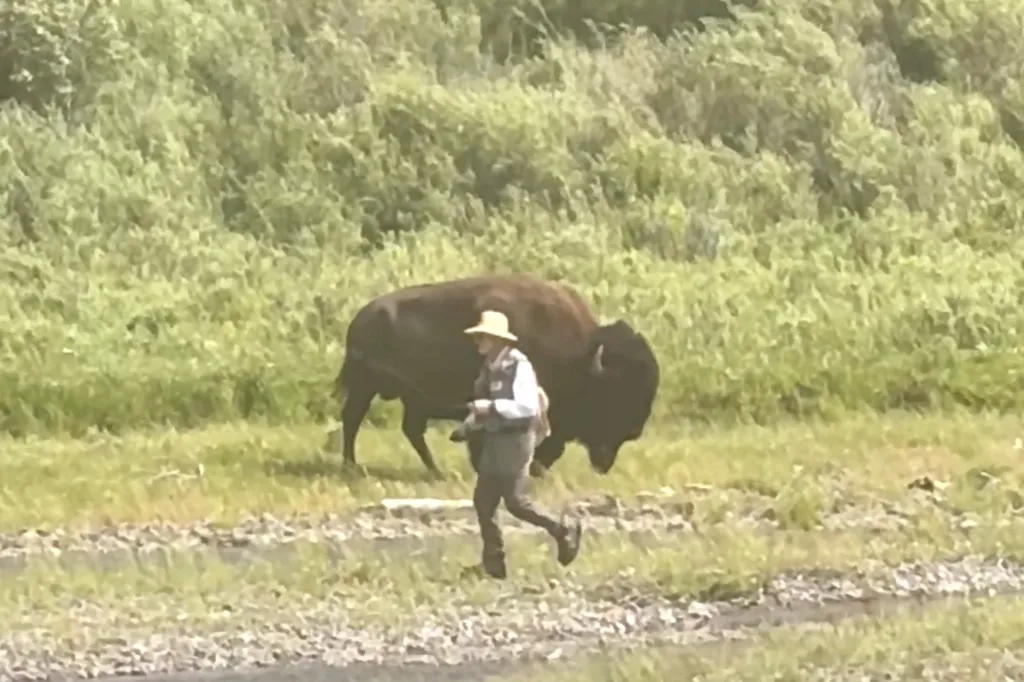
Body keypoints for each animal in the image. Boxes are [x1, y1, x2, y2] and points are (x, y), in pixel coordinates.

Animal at [332, 273, 660, 476]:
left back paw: (436, 471)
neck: (579, 356)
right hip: (365, 387)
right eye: (615, 393)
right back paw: (351, 467)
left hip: (409, 399)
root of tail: (360, 318)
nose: (635, 430)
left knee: (409, 430)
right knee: (353, 421)